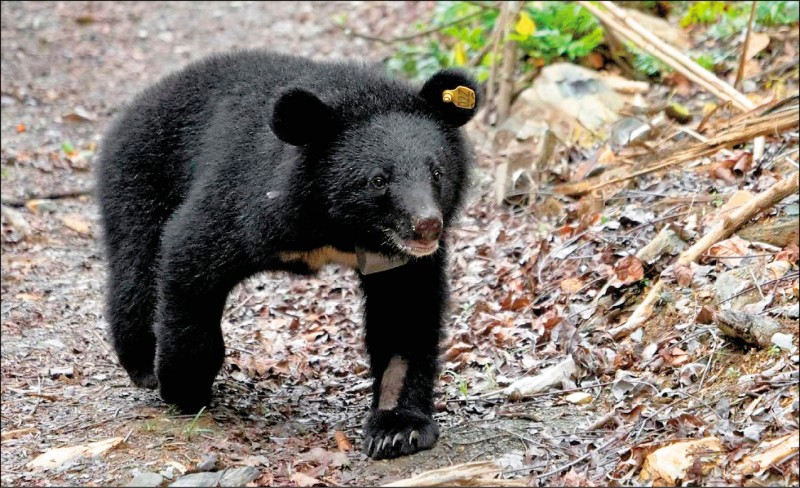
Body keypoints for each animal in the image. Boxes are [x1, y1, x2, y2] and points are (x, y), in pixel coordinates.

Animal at [97, 51, 478, 460]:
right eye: (378, 180)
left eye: (437, 173)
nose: (427, 226)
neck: (340, 228)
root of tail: (141, 102)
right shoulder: (247, 201)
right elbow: (192, 258)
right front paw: (184, 386)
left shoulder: (397, 260)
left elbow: (405, 315)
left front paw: (397, 429)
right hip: (140, 178)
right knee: (136, 269)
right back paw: (142, 364)